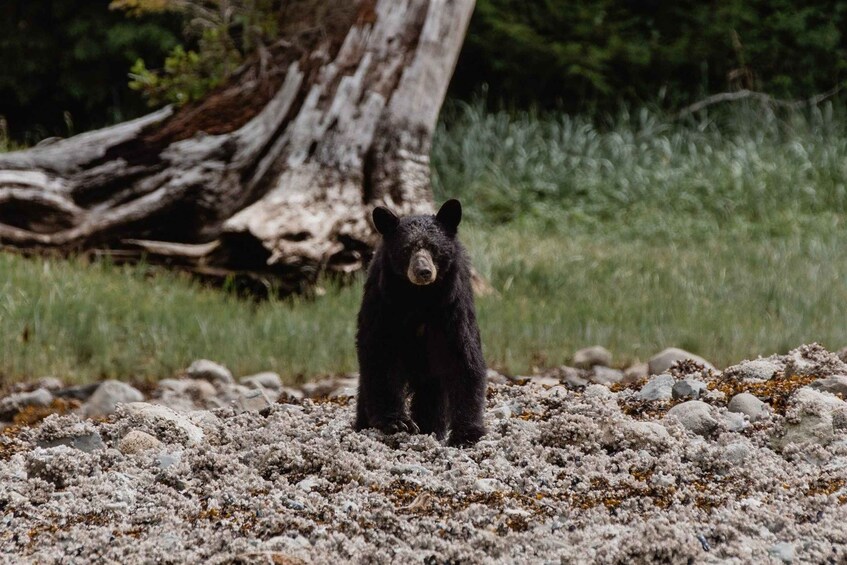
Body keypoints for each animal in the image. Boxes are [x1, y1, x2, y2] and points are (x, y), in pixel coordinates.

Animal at [354, 198, 486, 446]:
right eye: (406, 249)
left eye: (434, 248)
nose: (423, 271)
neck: (419, 297)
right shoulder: (383, 303)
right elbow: (379, 350)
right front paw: (395, 421)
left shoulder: (452, 306)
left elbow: (464, 356)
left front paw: (467, 433)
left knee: (432, 396)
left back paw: (430, 428)